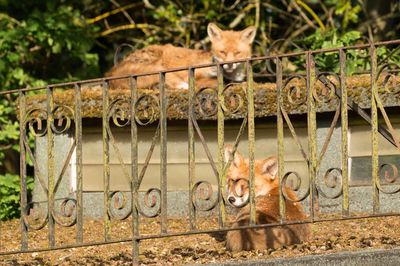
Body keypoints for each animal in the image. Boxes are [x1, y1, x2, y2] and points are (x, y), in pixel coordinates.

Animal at [106, 23, 256, 89]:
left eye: (237, 53)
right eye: (222, 52)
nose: (229, 64)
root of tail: (111, 72)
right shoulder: (196, 76)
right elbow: (221, 82)